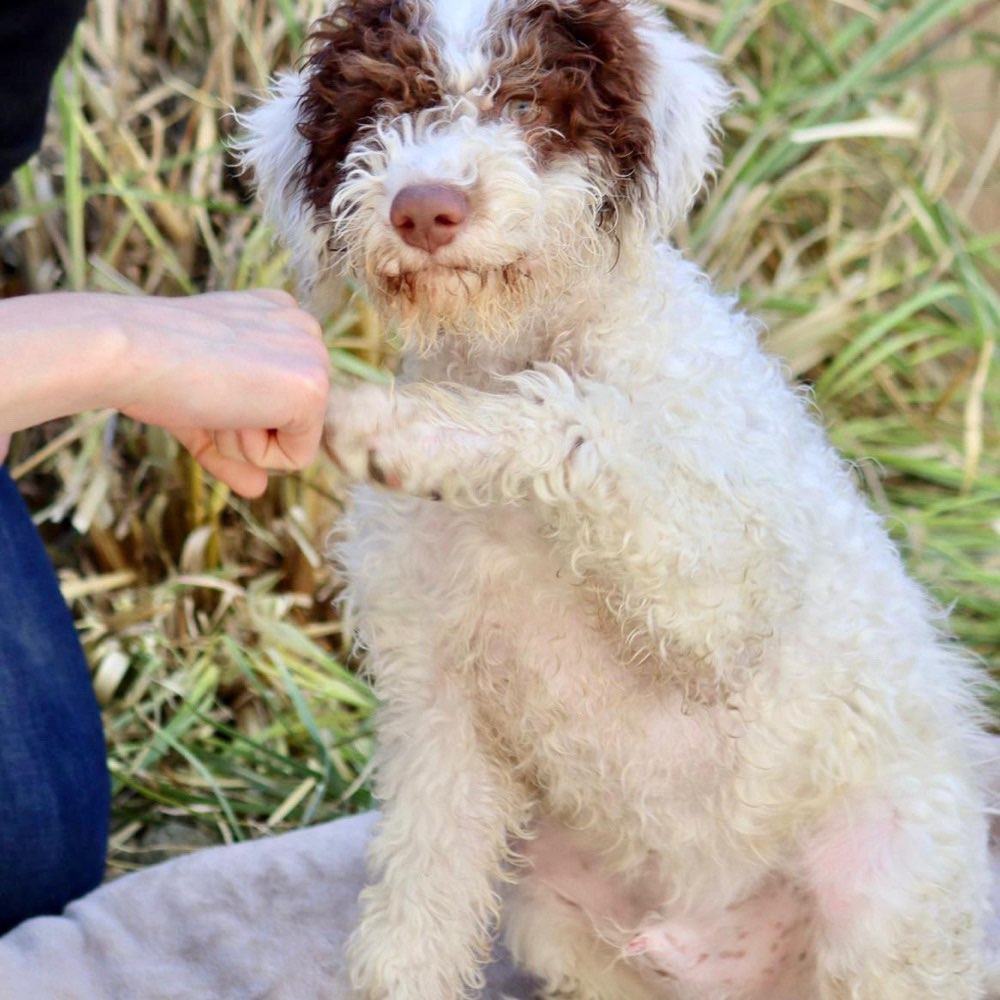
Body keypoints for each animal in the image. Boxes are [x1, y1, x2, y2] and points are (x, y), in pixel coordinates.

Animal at [240, 1, 992, 1000]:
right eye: (380, 111)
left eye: (526, 103)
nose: (425, 208)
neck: (514, 344)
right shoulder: (439, 710)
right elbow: (419, 906)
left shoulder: (727, 588)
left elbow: (586, 423)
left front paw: (410, 431)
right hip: (554, 912)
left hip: (889, 899)